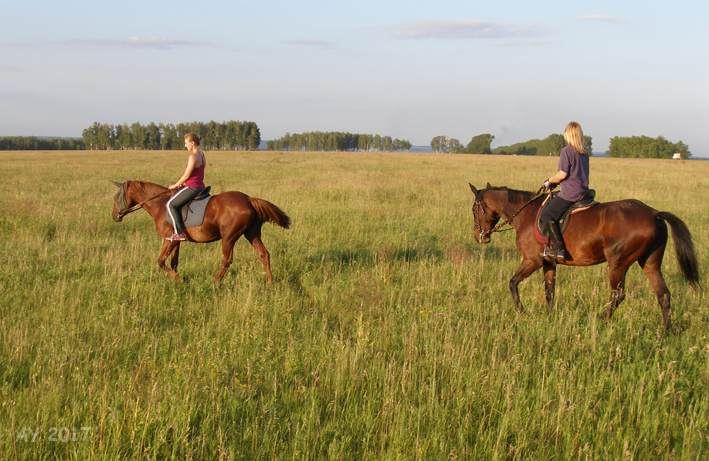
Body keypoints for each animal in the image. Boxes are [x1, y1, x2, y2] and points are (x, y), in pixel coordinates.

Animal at [110, 181, 288, 282]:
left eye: (116, 197)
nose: (114, 216)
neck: (160, 204)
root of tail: (249, 199)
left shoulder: (169, 240)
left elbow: (160, 261)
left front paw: (178, 278)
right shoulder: (176, 241)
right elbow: (174, 262)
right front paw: (176, 281)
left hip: (229, 237)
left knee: (227, 260)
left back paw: (215, 282)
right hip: (252, 234)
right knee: (264, 254)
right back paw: (269, 283)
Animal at [470, 181, 696, 328]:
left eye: (474, 209)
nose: (479, 237)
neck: (524, 213)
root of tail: (653, 213)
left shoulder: (532, 260)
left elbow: (512, 283)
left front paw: (522, 312)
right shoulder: (548, 262)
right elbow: (549, 291)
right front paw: (549, 318)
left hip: (618, 262)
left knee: (617, 294)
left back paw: (602, 322)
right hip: (650, 263)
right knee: (663, 294)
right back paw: (666, 331)